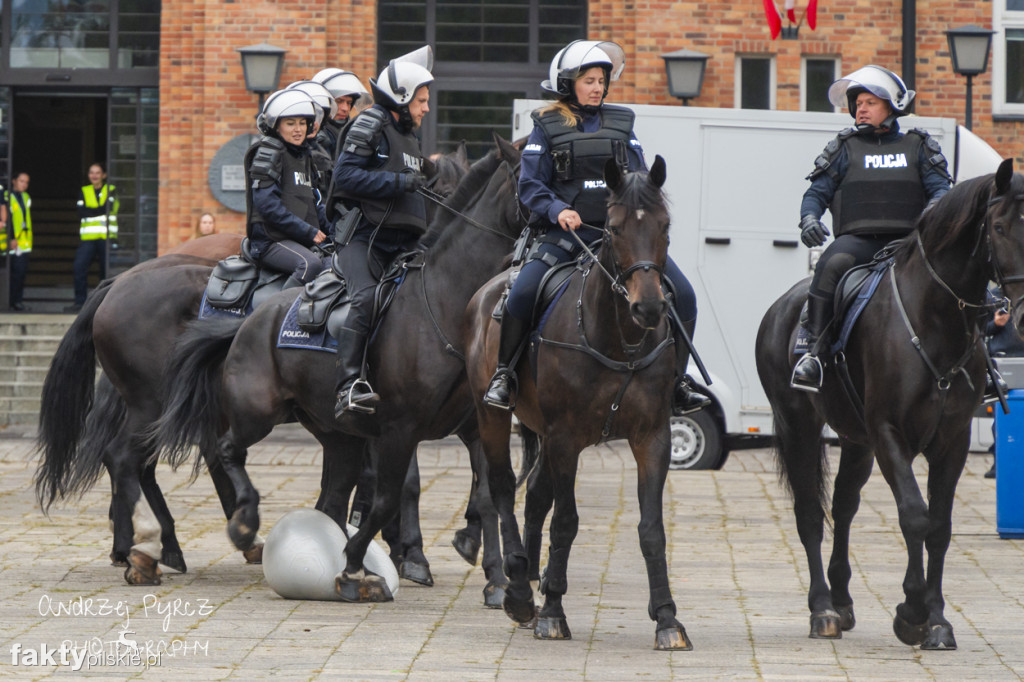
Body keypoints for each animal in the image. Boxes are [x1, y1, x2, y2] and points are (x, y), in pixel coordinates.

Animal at [154, 135, 524, 602]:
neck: (446, 303)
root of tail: (251, 320)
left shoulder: (476, 426)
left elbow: (487, 496)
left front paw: (495, 578)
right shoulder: (399, 430)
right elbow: (389, 497)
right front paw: (377, 561)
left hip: (339, 436)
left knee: (328, 499)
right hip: (257, 413)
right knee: (223, 451)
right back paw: (241, 528)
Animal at [466, 156, 692, 651]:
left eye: (665, 225)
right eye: (613, 228)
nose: (649, 308)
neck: (619, 339)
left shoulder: (653, 437)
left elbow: (651, 529)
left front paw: (667, 619)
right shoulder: (566, 437)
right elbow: (566, 521)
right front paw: (553, 612)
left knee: (534, 496)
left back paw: (531, 583)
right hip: (492, 417)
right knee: (503, 487)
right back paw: (518, 588)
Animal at [757, 159, 1024, 647]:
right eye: (998, 227)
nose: (1021, 313)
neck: (933, 320)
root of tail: (782, 306)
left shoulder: (952, 441)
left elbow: (939, 527)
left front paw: (937, 620)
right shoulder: (889, 434)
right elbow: (915, 516)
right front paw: (911, 613)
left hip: (856, 440)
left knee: (843, 506)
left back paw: (842, 600)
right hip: (800, 426)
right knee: (810, 513)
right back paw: (822, 609)